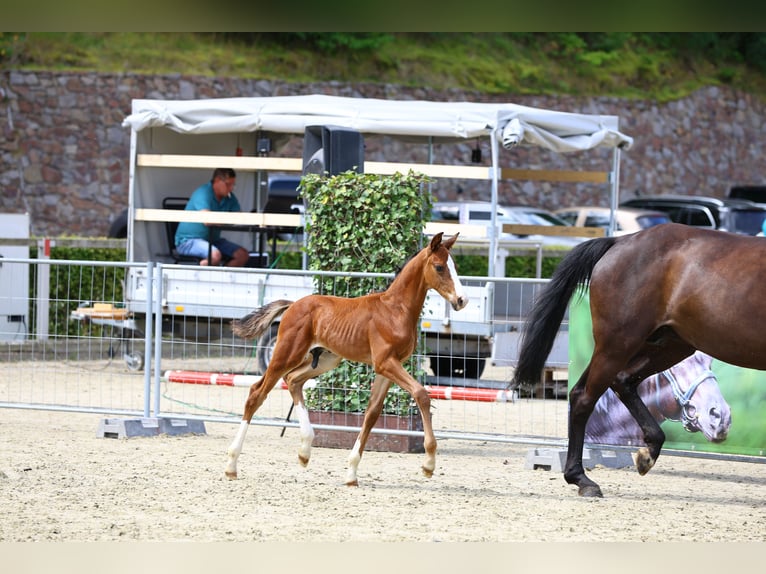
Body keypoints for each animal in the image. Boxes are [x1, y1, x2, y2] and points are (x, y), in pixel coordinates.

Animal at [225, 233, 468, 486]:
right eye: (439, 267)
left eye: (454, 266)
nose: (462, 300)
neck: (395, 310)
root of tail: (292, 305)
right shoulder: (385, 362)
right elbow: (421, 394)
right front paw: (429, 464)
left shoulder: (387, 368)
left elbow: (372, 413)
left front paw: (351, 473)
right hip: (286, 353)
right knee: (257, 392)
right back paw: (232, 465)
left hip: (325, 359)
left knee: (293, 380)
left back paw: (304, 451)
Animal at [512, 225, 766, 500]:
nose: (719, 418)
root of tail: (621, 241)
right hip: (618, 344)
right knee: (585, 398)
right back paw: (583, 479)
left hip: (663, 345)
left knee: (617, 382)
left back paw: (647, 452)